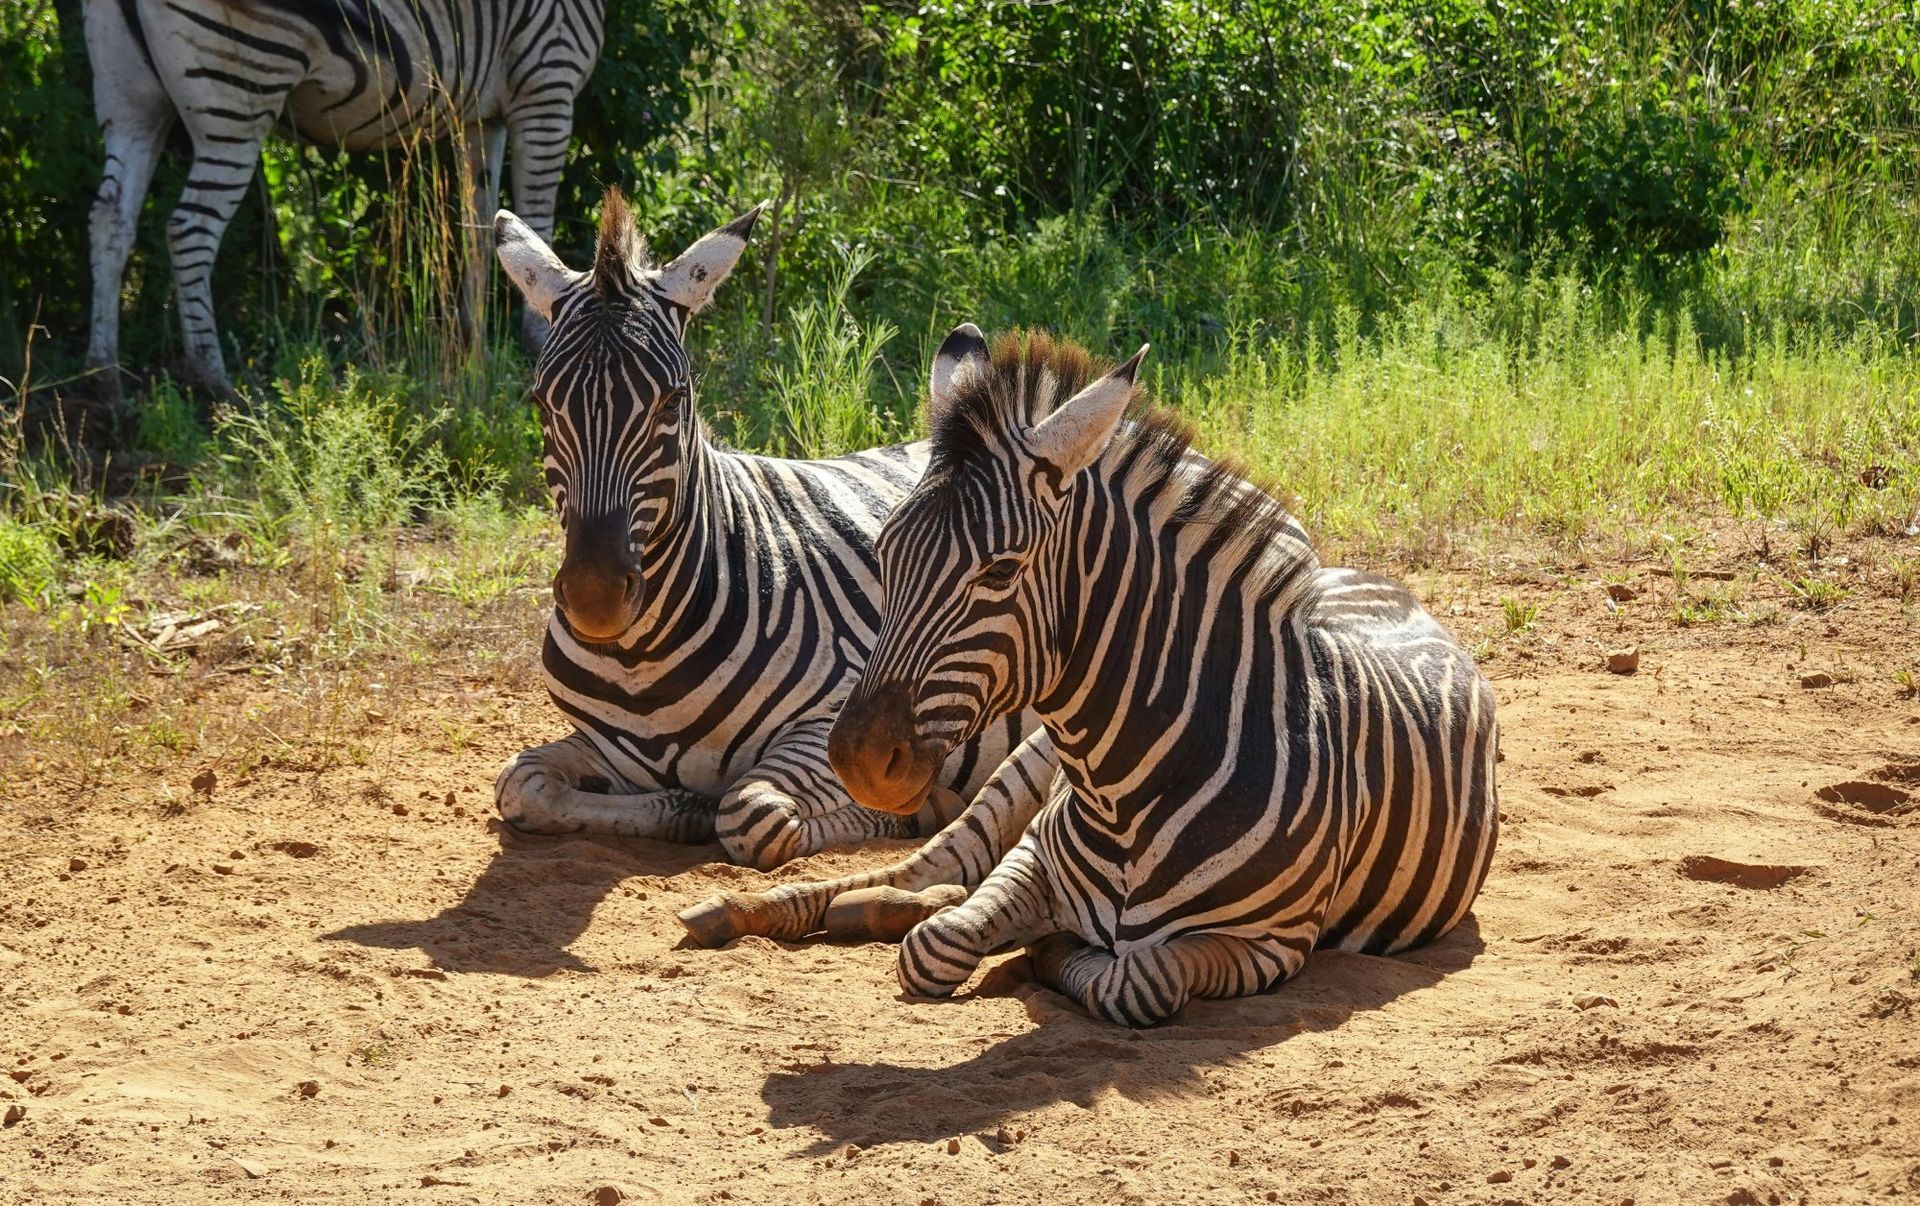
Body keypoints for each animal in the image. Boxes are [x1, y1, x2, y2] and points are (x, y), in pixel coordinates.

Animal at [84, 0, 605, 395]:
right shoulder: (547, 80)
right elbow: (535, 219)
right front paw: (538, 338)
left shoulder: (480, 114)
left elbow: (480, 229)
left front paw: (472, 345)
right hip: (239, 90)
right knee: (189, 229)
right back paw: (212, 376)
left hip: (132, 101)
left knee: (111, 218)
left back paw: (103, 373)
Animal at [488, 189, 1051, 893]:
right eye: (541, 403)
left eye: (672, 401)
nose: (595, 598)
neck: (640, 659)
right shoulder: (607, 748)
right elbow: (521, 783)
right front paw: (684, 807)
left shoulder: (837, 718)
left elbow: (753, 814)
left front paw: (909, 812)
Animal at [820, 327, 1501, 1027]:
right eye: (884, 552)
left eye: (1001, 570)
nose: (856, 759)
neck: (1124, 799)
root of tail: (1384, 583)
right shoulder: (1032, 861)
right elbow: (932, 948)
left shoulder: (1272, 943)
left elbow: (1135, 980)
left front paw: (1047, 951)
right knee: (937, 868)